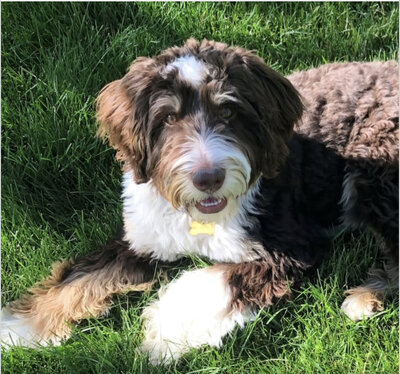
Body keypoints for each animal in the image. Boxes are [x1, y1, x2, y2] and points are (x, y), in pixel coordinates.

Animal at [1, 39, 398, 364]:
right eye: (167, 118)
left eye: (228, 112)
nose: (208, 178)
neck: (200, 217)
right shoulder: (144, 238)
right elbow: (81, 277)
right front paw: (22, 326)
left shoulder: (290, 246)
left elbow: (213, 281)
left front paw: (164, 333)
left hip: (377, 172)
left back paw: (364, 298)